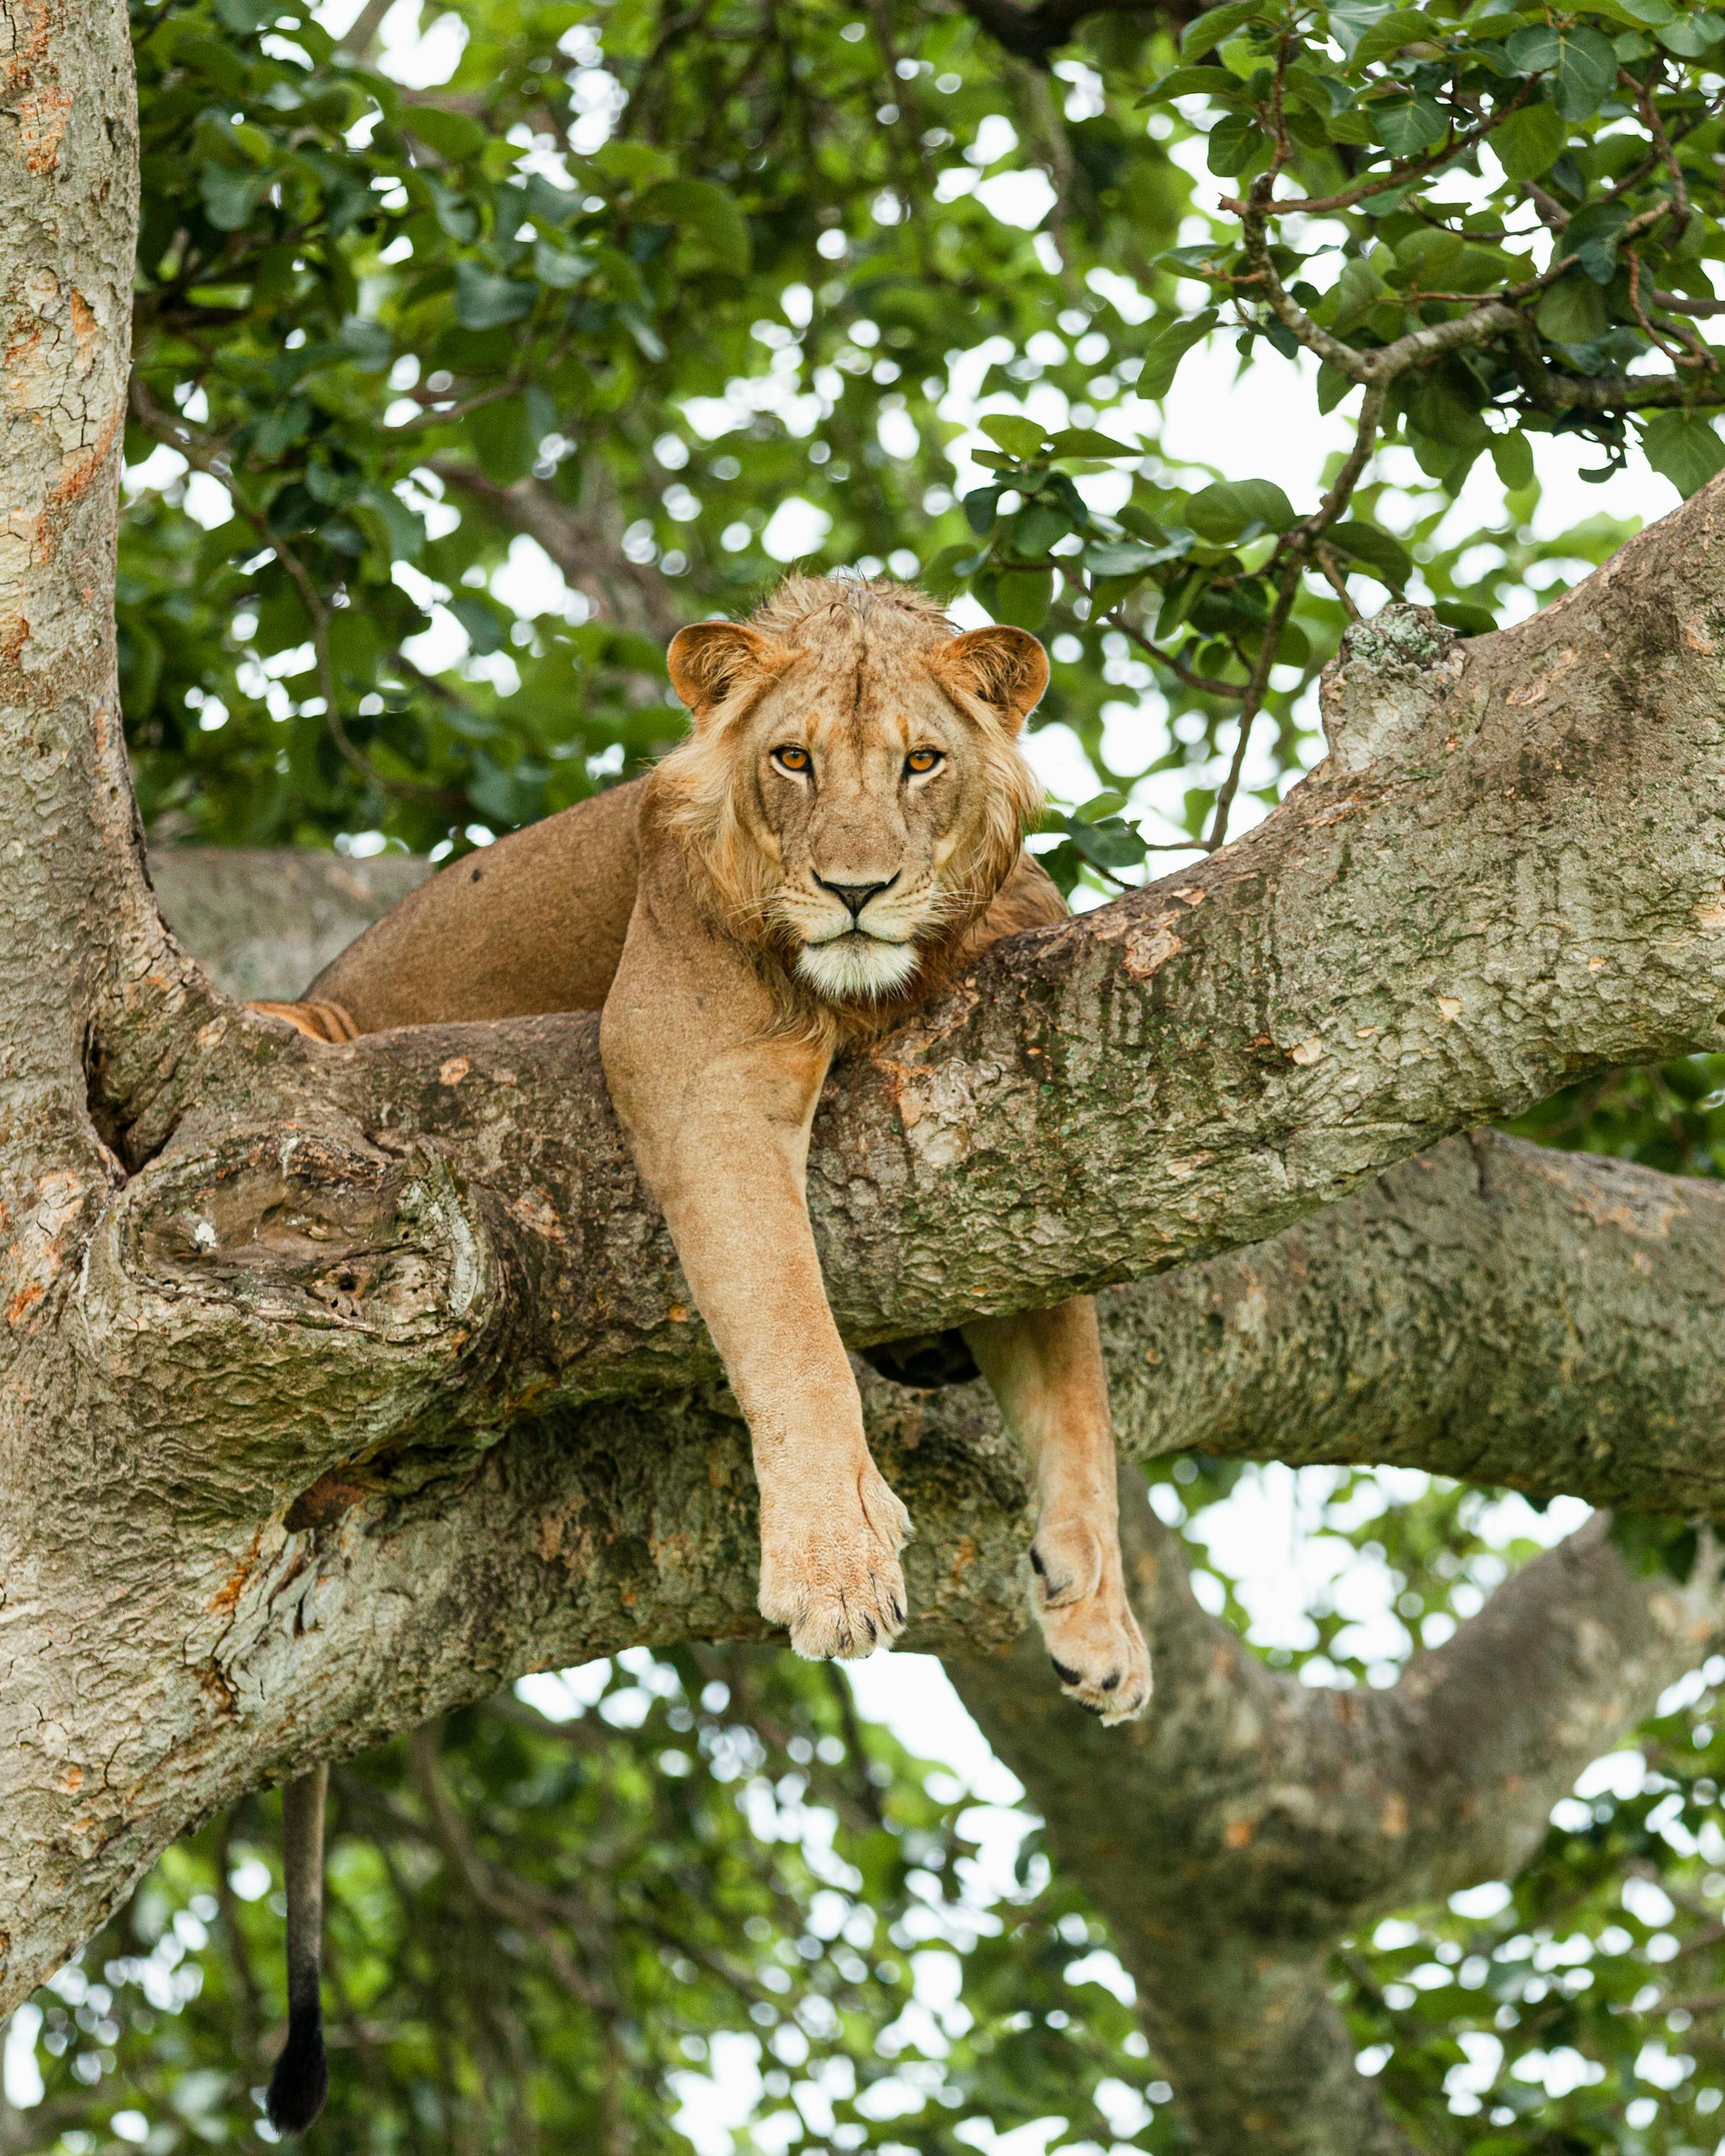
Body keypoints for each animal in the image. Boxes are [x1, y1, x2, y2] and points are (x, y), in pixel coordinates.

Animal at [250, 575, 1150, 2133]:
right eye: (792, 760)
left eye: (922, 763)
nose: (854, 891)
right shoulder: (697, 1067)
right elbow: (781, 1318)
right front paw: (835, 1563)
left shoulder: (1023, 1129)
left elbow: (1074, 1399)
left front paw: (1099, 1621)